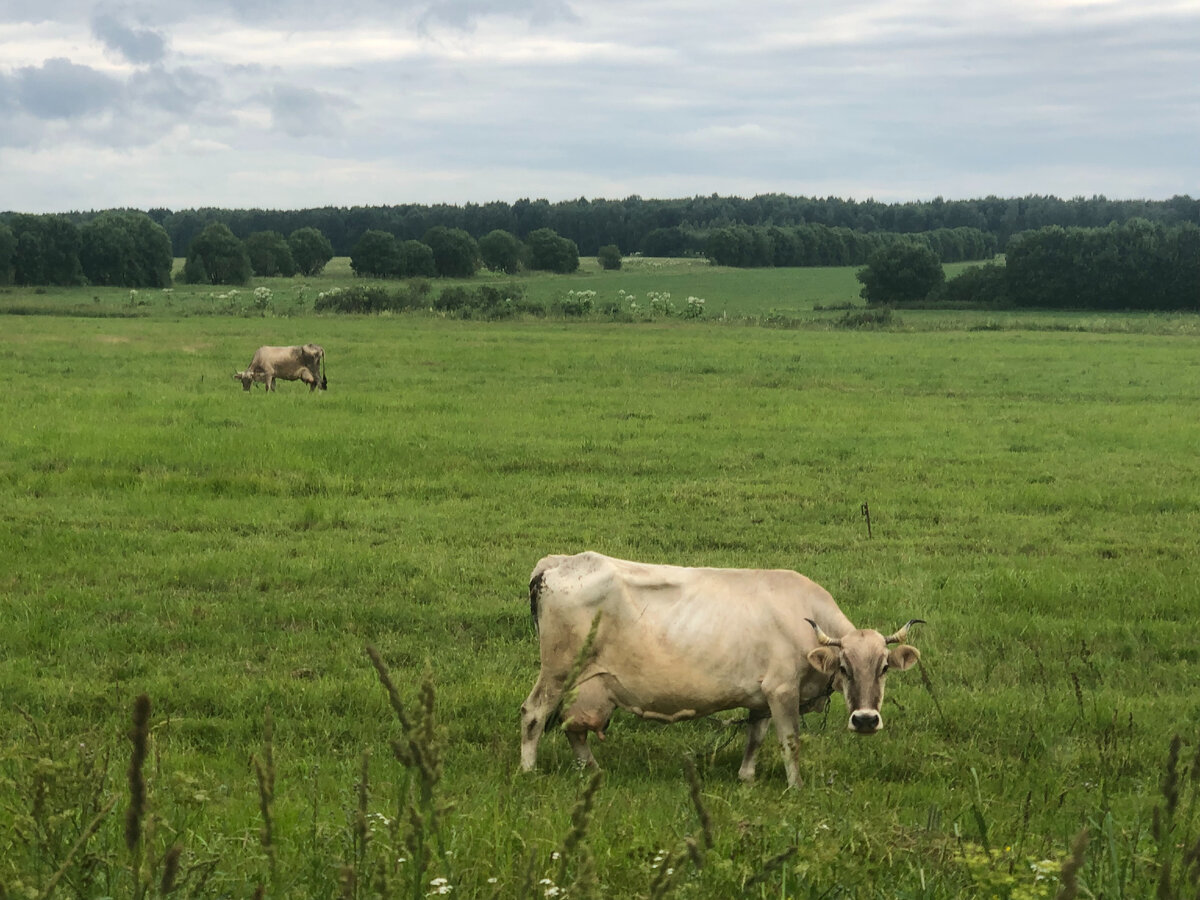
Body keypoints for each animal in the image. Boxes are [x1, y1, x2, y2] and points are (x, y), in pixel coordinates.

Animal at [520, 554, 921, 787]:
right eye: (844, 666)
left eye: (884, 667)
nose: (866, 720)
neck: (806, 616)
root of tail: (558, 562)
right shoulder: (782, 689)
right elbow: (790, 741)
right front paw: (796, 787)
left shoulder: (761, 695)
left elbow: (755, 736)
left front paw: (746, 777)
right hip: (557, 670)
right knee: (533, 713)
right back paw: (528, 770)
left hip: (589, 683)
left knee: (574, 728)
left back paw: (592, 770)